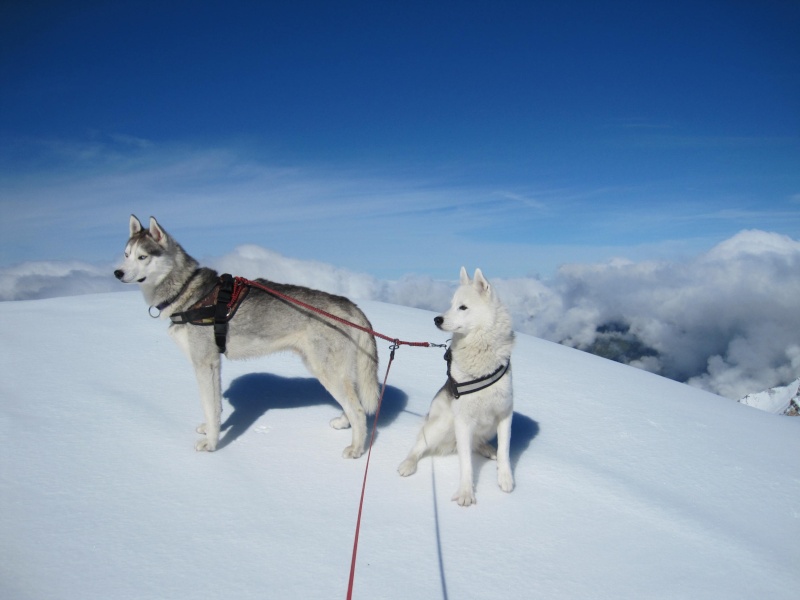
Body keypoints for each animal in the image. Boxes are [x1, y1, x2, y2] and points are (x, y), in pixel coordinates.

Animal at [114, 218, 380, 458]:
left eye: (142, 257)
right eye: (126, 254)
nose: (117, 272)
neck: (187, 291)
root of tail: (350, 305)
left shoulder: (204, 363)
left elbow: (209, 406)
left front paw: (211, 444)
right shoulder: (214, 364)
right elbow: (215, 406)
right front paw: (211, 430)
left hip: (326, 371)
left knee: (358, 410)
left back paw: (356, 449)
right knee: (353, 402)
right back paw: (343, 423)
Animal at [396, 268, 516, 506]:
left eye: (463, 307)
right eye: (451, 304)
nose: (437, 319)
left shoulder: (504, 414)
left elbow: (504, 451)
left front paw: (505, 478)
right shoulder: (463, 421)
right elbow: (466, 463)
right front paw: (466, 492)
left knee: (477, 442)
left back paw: (487, 449)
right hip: (443, 423)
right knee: (419, 445)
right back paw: (408, 464)